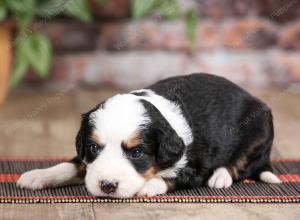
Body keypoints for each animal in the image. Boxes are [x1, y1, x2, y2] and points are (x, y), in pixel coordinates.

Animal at [17, 73, 282, 197]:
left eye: (136, 152)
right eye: (94, 148)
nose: (107, 186)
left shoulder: (194, 165)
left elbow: (171, 175)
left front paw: (148, 186)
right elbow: (72, 165)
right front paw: (38, 175)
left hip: (259, 131)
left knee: (241, 164)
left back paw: (220, 177)